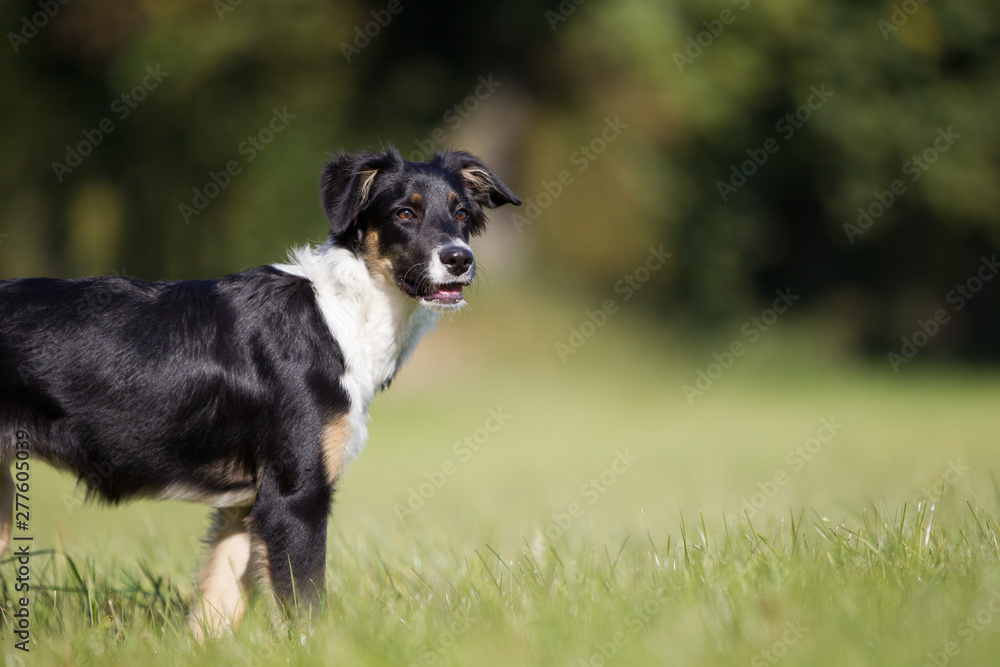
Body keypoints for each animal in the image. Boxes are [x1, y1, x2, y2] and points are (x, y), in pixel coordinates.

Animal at [0, 146, 520, 636]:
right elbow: (308, 609)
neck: (344, 316)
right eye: (405, 213)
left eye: (461, 213)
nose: (459, 258)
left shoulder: (244, 507)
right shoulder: (294, 499)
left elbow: (216, 609)